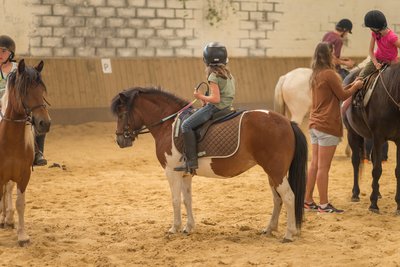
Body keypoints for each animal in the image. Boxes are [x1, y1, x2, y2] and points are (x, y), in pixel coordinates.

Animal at [0, 59, 51, 247]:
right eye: (25, 91)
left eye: (42, 90)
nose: (45, 123)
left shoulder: (24, 175)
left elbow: (20, 203)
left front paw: (22, 236)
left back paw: (8, 219)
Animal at [111, 88, 308, 243]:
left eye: (121, 114)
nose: (120, 140)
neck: (169, 125)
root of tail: (287, 122)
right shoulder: (185, 173)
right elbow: (187, 199)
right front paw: (188, 227)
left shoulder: (171, 172)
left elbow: (175, 200)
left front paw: (174, 228)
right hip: (272, 172)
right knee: (277, 198)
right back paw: (269, 229)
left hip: (276, 171)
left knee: (288, 197)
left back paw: (289, 234)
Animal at [342, 63, 400, 215]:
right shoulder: (378, 137)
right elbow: (377, 170)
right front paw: (373, 204)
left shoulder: (398, 141)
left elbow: (397, 171)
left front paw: (398, 206)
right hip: (352, 134)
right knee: (356, 162)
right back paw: (355, 194)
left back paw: (378, 192)